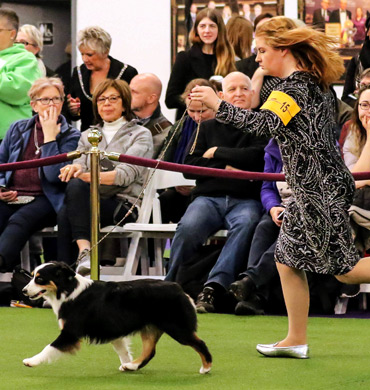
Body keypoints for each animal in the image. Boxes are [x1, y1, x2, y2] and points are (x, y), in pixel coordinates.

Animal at [23, 262, 212, 374]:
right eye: (32, 276)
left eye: (40, 279)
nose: (24, 291)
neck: (68, 290)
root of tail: (179, 288)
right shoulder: (113, 330)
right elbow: (123, 351)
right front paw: (126, 363)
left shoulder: (70, 332)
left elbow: (49, 347)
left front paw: (31, 361)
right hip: (150, 327)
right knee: (150, 351)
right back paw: (132, 365)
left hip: (177, 327)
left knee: (200, 343)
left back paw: (206, 367)